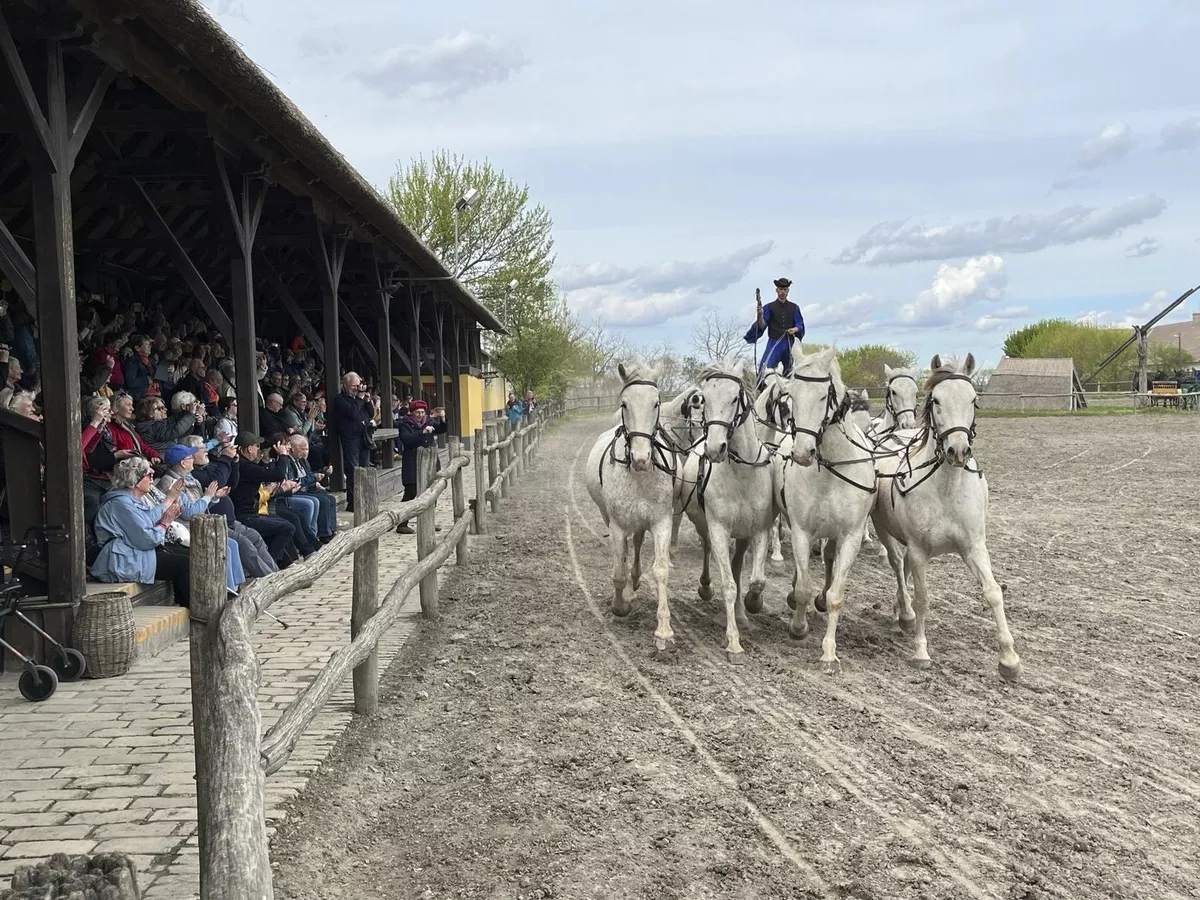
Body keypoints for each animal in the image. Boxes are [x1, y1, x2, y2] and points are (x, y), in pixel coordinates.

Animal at [585, 362, 681, 652]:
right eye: (624, 404)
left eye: (656, 403)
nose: (641, 458)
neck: (639, 476)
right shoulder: (617, 524)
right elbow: (618, 570)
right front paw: (619, 606)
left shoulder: (661, 522)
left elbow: (660, 570)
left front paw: (664, 631)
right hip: (610, 517)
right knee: (626, 551)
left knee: (636, 544)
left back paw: (635, 581)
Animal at [681, 360, 772, 662]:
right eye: (704, 400)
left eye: (734, 398)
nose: (714, 448)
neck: (741, 474)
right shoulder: (719, 528)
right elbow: (729, 585)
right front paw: (733, 642)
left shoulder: (759, 529)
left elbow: (755, 580)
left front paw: (752, 604)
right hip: (704, 525)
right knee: (709, 551)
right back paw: (707, 588)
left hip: (742, 536)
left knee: (738, 564)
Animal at [772, 348, 878, 672]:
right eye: (791, 396)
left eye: (823, 396)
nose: (802, 453)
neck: (831, 469)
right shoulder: (802, 531)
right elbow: (804, 586)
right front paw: (798, 627)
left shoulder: (850, 536)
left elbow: (836, 596)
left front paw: (829, 651)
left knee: (830, 559)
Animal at [873, 355, 1022, 681]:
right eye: (937, 400)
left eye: (973, 399)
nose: (958, 450)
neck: (947, 488)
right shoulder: (919, 550)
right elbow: (923, 597)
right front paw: (921, 651)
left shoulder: (974, 547)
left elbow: (993, 592)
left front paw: (1009, 658)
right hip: (883, 529)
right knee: (897, 563)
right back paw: (905, 612)